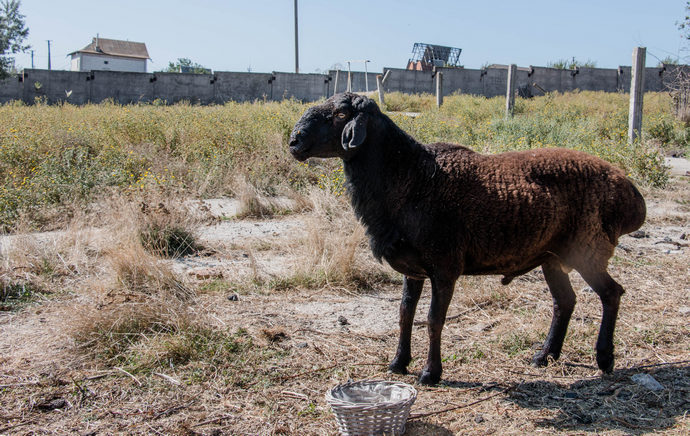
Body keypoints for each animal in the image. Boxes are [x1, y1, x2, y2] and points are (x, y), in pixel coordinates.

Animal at [286, 93, 644, 384]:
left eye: (340, 114)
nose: (294, 141)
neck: (410, 177)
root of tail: (630, 193)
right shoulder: (413, 270)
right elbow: (404, 315)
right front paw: (398, 364)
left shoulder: (445, 267)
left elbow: (433, 320)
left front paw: (430, 373)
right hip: (553, 257)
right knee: (565, 301)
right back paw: (545, 356)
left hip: (589, 250)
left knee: (612, 293)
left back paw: (604, 359)